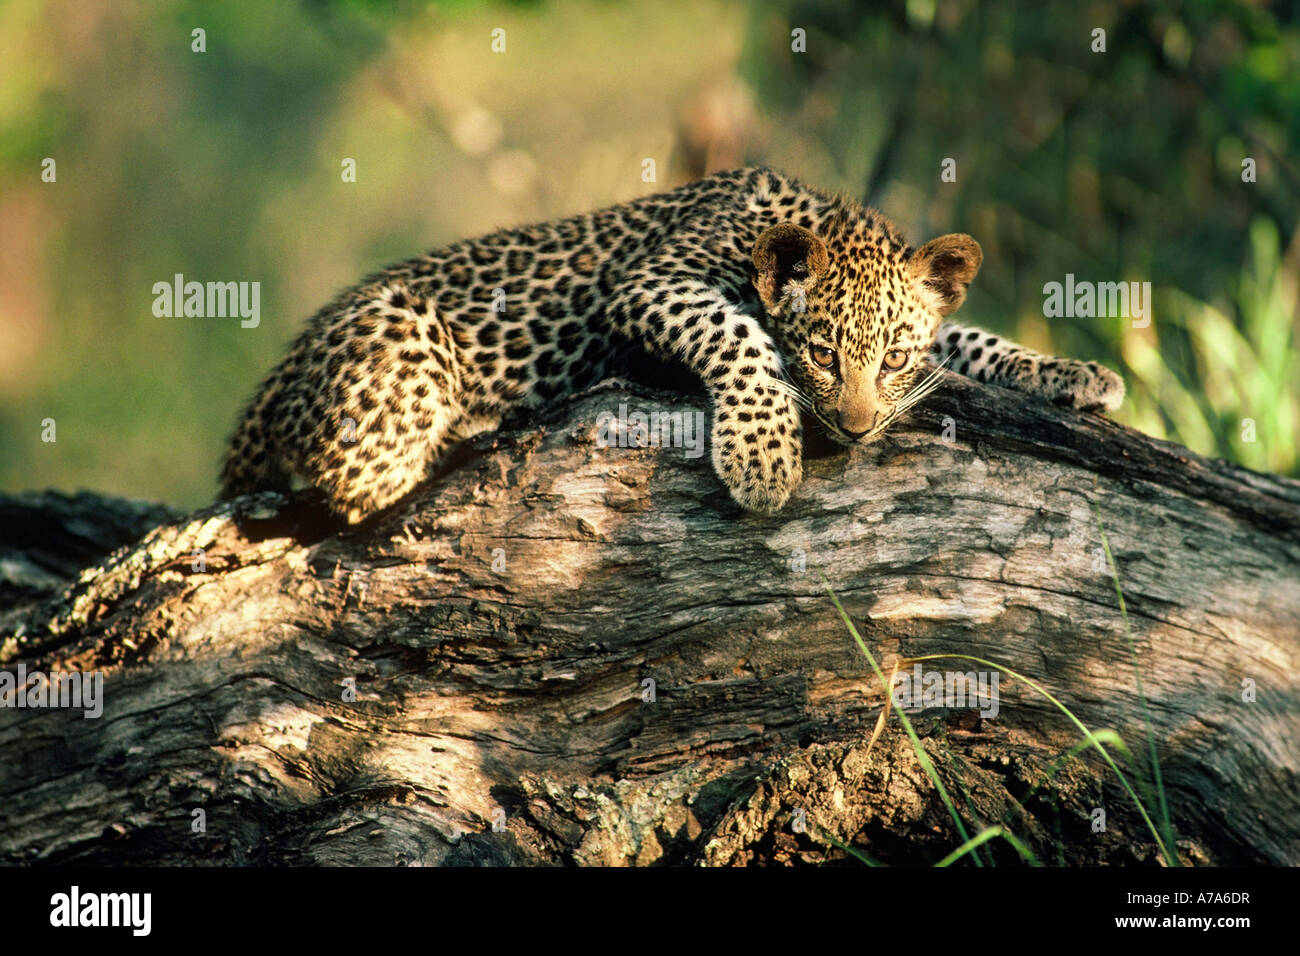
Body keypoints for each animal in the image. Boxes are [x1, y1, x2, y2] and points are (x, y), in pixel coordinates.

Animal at [219, 166, 1124, 523]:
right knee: (355, 483)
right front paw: (763, 459)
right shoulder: (655, 282)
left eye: (893, 358)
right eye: (823, 353)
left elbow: (968, 336)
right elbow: (739, 334)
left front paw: (1075, 373)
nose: (858, 428)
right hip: (401, 335)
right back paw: (482, 426)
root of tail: (280, 374)